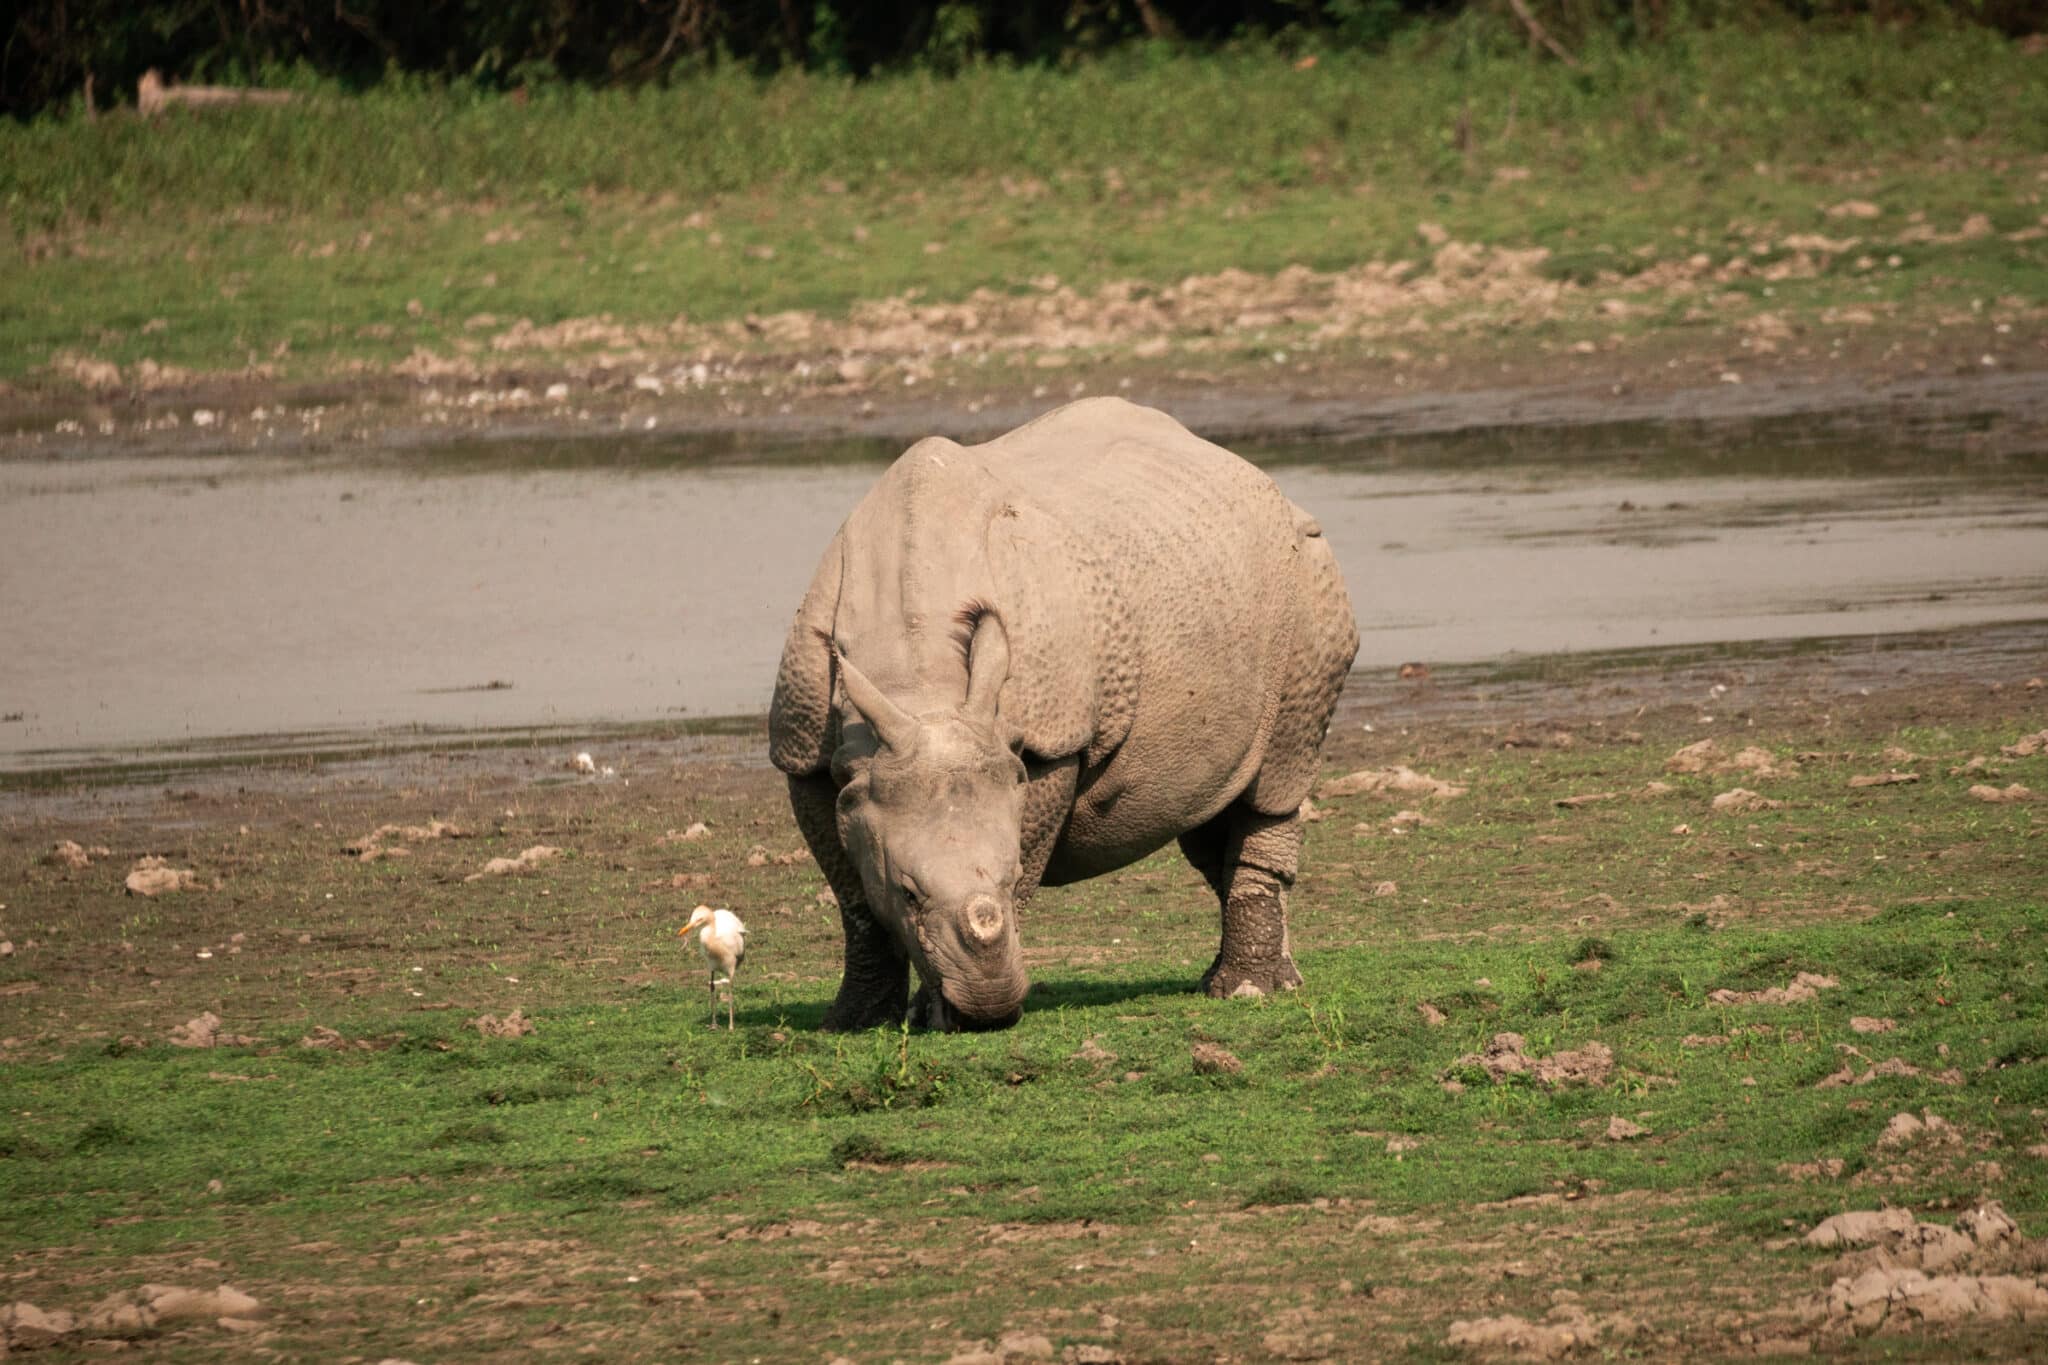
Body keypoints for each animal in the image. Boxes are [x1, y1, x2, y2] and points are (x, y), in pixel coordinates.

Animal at [770, 398, 1358, 1030]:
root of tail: (1266, 483)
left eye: (1010, 880)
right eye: (907, 893)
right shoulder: (805, 753)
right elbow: (854, 899)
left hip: (1309, 579)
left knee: (1275, 779)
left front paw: (936, 1015)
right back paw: (1260, 979)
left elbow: (1024, 849)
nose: (989, 1011)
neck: (918, 688)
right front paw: (855, 1021)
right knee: (1209, 809)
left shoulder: (1049, 743)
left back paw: (1248, 991)